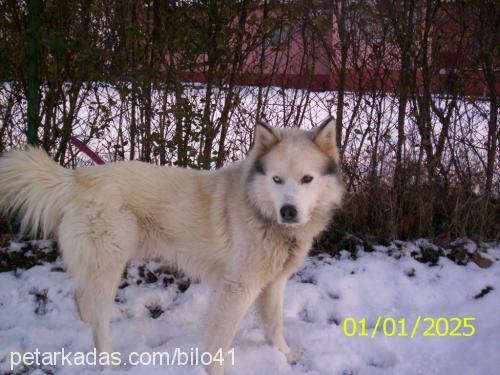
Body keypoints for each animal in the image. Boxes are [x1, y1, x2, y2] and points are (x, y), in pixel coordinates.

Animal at [0, 117, 344, 374]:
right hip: (110, 263)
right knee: (97, 324)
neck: (261, 212)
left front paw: (285, 356)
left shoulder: (273, 284)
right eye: (276, 179)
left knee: (83, 300)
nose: (289, 211)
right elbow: (220, 341)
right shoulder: (238, 288)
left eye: (307, 179)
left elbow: (274, 325)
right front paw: (215, 371)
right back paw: (108, 362)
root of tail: (77, 178)